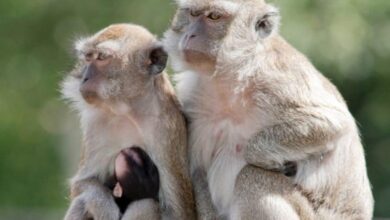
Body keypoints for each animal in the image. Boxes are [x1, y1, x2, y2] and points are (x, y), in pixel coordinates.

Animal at [61, 23, 195, 220]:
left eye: (101, 57)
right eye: (88, 57)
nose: (84, 77)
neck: (129, 111)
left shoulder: (166, 131)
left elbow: (178, 213)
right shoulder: (95, 124)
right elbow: (81, 184)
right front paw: (103, 207)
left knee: (147, 205)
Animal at [163, 0, 374, 219]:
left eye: (214, 17)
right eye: (193, 14)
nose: (190, 35)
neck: (231, 80)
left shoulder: (277, 79)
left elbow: (331, 123)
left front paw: (263, 158)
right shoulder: (194, 101)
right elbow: (198, 172)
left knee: (251, 177)